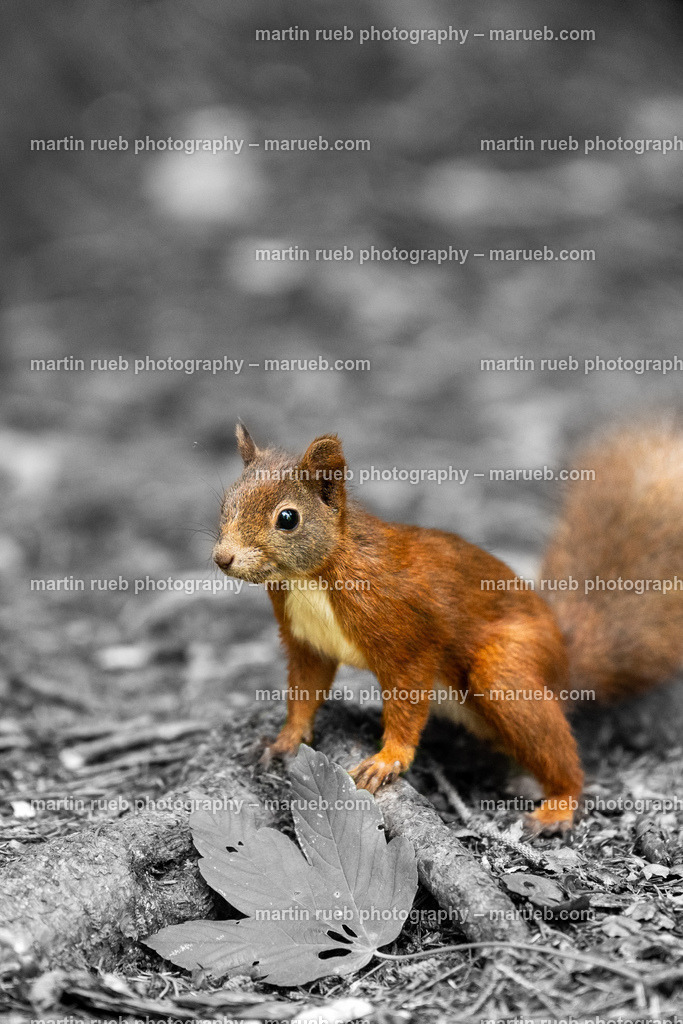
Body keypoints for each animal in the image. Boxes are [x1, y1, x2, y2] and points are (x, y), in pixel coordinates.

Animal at [212, 421, 683, 834]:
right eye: (224, 504)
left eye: (287, 518)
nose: (222, 558)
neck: (311, 577)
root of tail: (565, 665)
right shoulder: (307, 642)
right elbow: (305, 690)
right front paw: (286, 738)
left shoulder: (407, 636)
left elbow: (406, 698)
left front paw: (388, 758)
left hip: (508, 670)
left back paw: (560, 805)